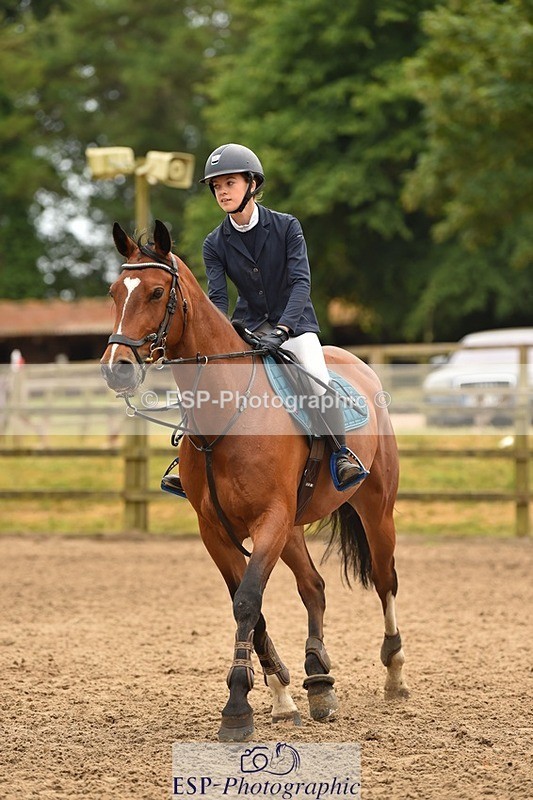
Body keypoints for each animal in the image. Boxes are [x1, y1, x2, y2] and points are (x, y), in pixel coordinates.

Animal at [100, 219, 409, 742]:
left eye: (157, 292)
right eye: (114, 292)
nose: (115, 369)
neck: (227, 415)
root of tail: (359, 365)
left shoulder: (270, 519)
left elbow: (247, 602)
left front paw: (238, 708)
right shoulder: (216, 530)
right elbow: (250, 606)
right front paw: (281, 695)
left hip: (373, 509)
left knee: (385, 581)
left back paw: (394, 674)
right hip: (293, 528)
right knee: (314, 586)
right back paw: (318, 682)